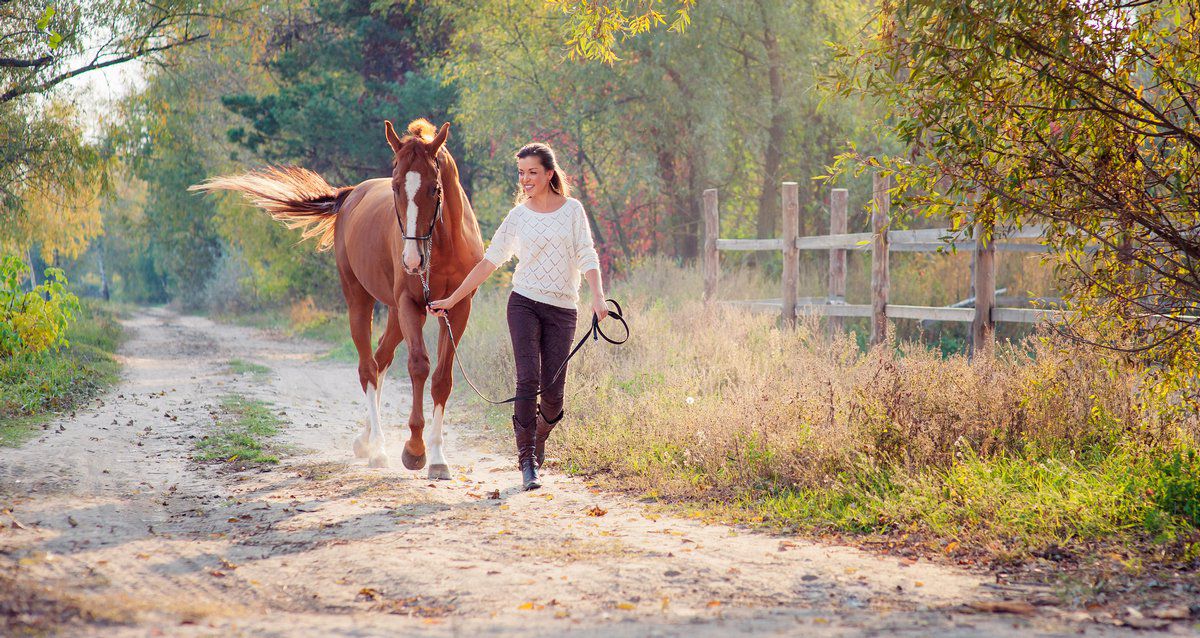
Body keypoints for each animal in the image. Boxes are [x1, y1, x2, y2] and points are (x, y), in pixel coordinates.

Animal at [190, 119, 484, 480]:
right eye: (396, 187)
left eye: (434, 188)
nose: (413, 261)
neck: (443, 244)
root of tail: (350, 195)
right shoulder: (410, 305)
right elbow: (418, 366)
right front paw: (415, 450)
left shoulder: (456, 309)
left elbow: (442, 379)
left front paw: (439, 458)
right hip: (362, 301)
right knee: (368, 367)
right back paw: (378, 449)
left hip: (396, 313)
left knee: (381, 358)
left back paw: (366, 439)